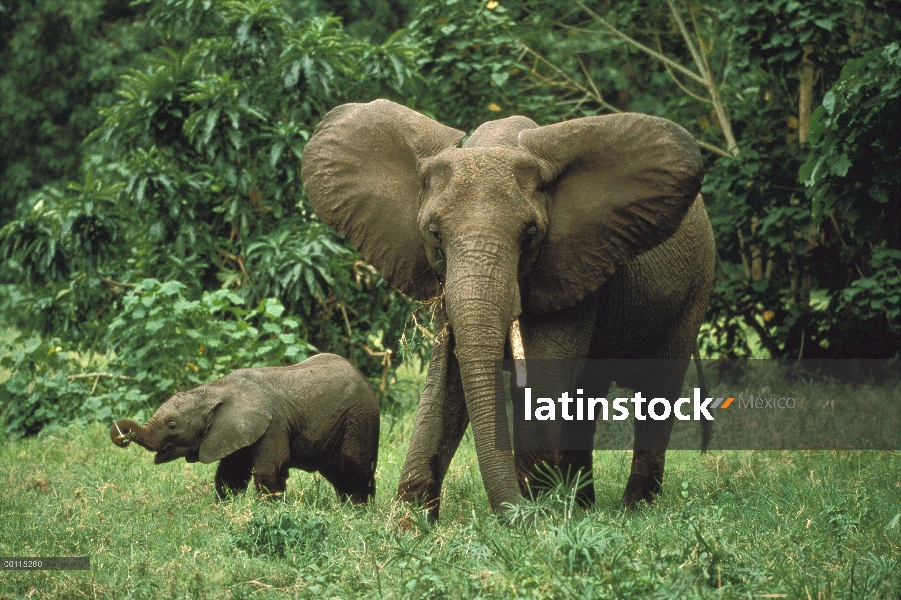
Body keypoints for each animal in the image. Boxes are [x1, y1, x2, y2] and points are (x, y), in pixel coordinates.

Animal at [111, 354, 380, 504]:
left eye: (172, 426)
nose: (123, 436)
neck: (217, 388)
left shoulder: (273, 425)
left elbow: (269, 472)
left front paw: (269, 514)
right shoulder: (231, 430)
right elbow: (230, 475)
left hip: (358, 420)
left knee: (354, 470)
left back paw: (357, 512)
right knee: (340, 474)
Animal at [298, 98, 712, 520]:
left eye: (530, 235)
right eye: (434, 233)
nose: (513, 514)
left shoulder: (572, 264)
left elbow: (544, 375)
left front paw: (538, 518)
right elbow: (450, 378)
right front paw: (409, 522)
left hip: (695, 286)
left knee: (658, 386)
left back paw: (635, 509)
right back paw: (582, 507)